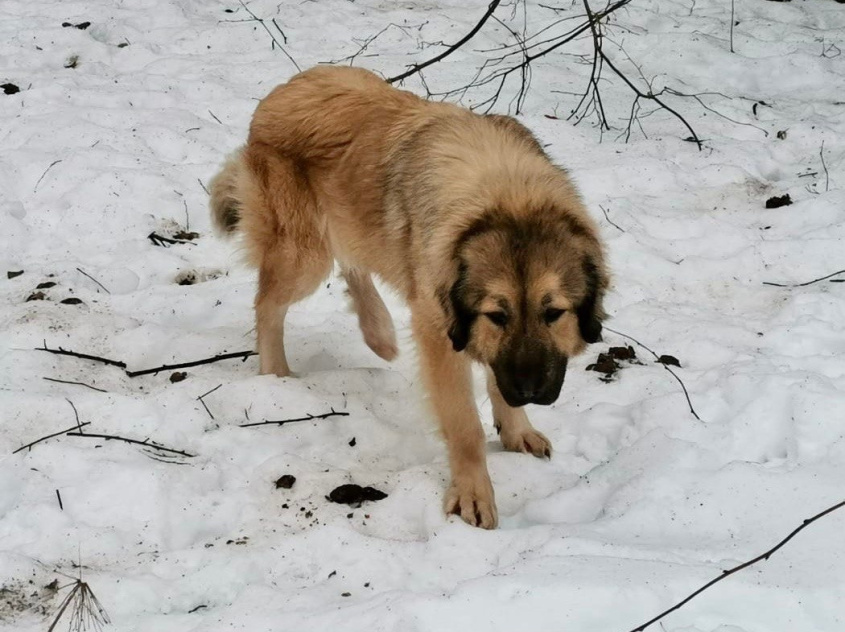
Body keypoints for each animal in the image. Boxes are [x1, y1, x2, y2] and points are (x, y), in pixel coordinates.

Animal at [210, 65, 608, 528]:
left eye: (554, 313)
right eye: (497, 315)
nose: (528, 392)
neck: (507, 195)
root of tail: (281, 92)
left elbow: (495, 377)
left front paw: (516, 429)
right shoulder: (441, 331)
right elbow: (465, 425)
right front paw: (472, 493)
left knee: (353, 263)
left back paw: (378, 332)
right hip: (303, 255)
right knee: (268, 303)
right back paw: (276, 375)